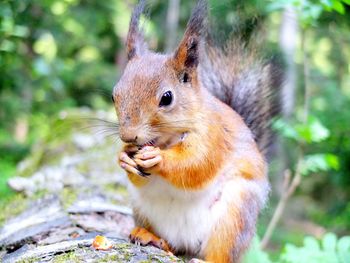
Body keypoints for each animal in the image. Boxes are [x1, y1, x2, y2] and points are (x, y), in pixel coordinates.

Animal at [112, 1, 282, 262]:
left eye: (167, 98)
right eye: (114, 95)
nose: (129, 136)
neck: (165, 140)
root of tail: (188, 243)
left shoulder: (214, 135)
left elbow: (197, 164)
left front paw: (158, 159)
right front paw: (124, 157)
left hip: (235, 215)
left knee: (220, 252)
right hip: (142, 209)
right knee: (171, 244)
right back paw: (151, 237)